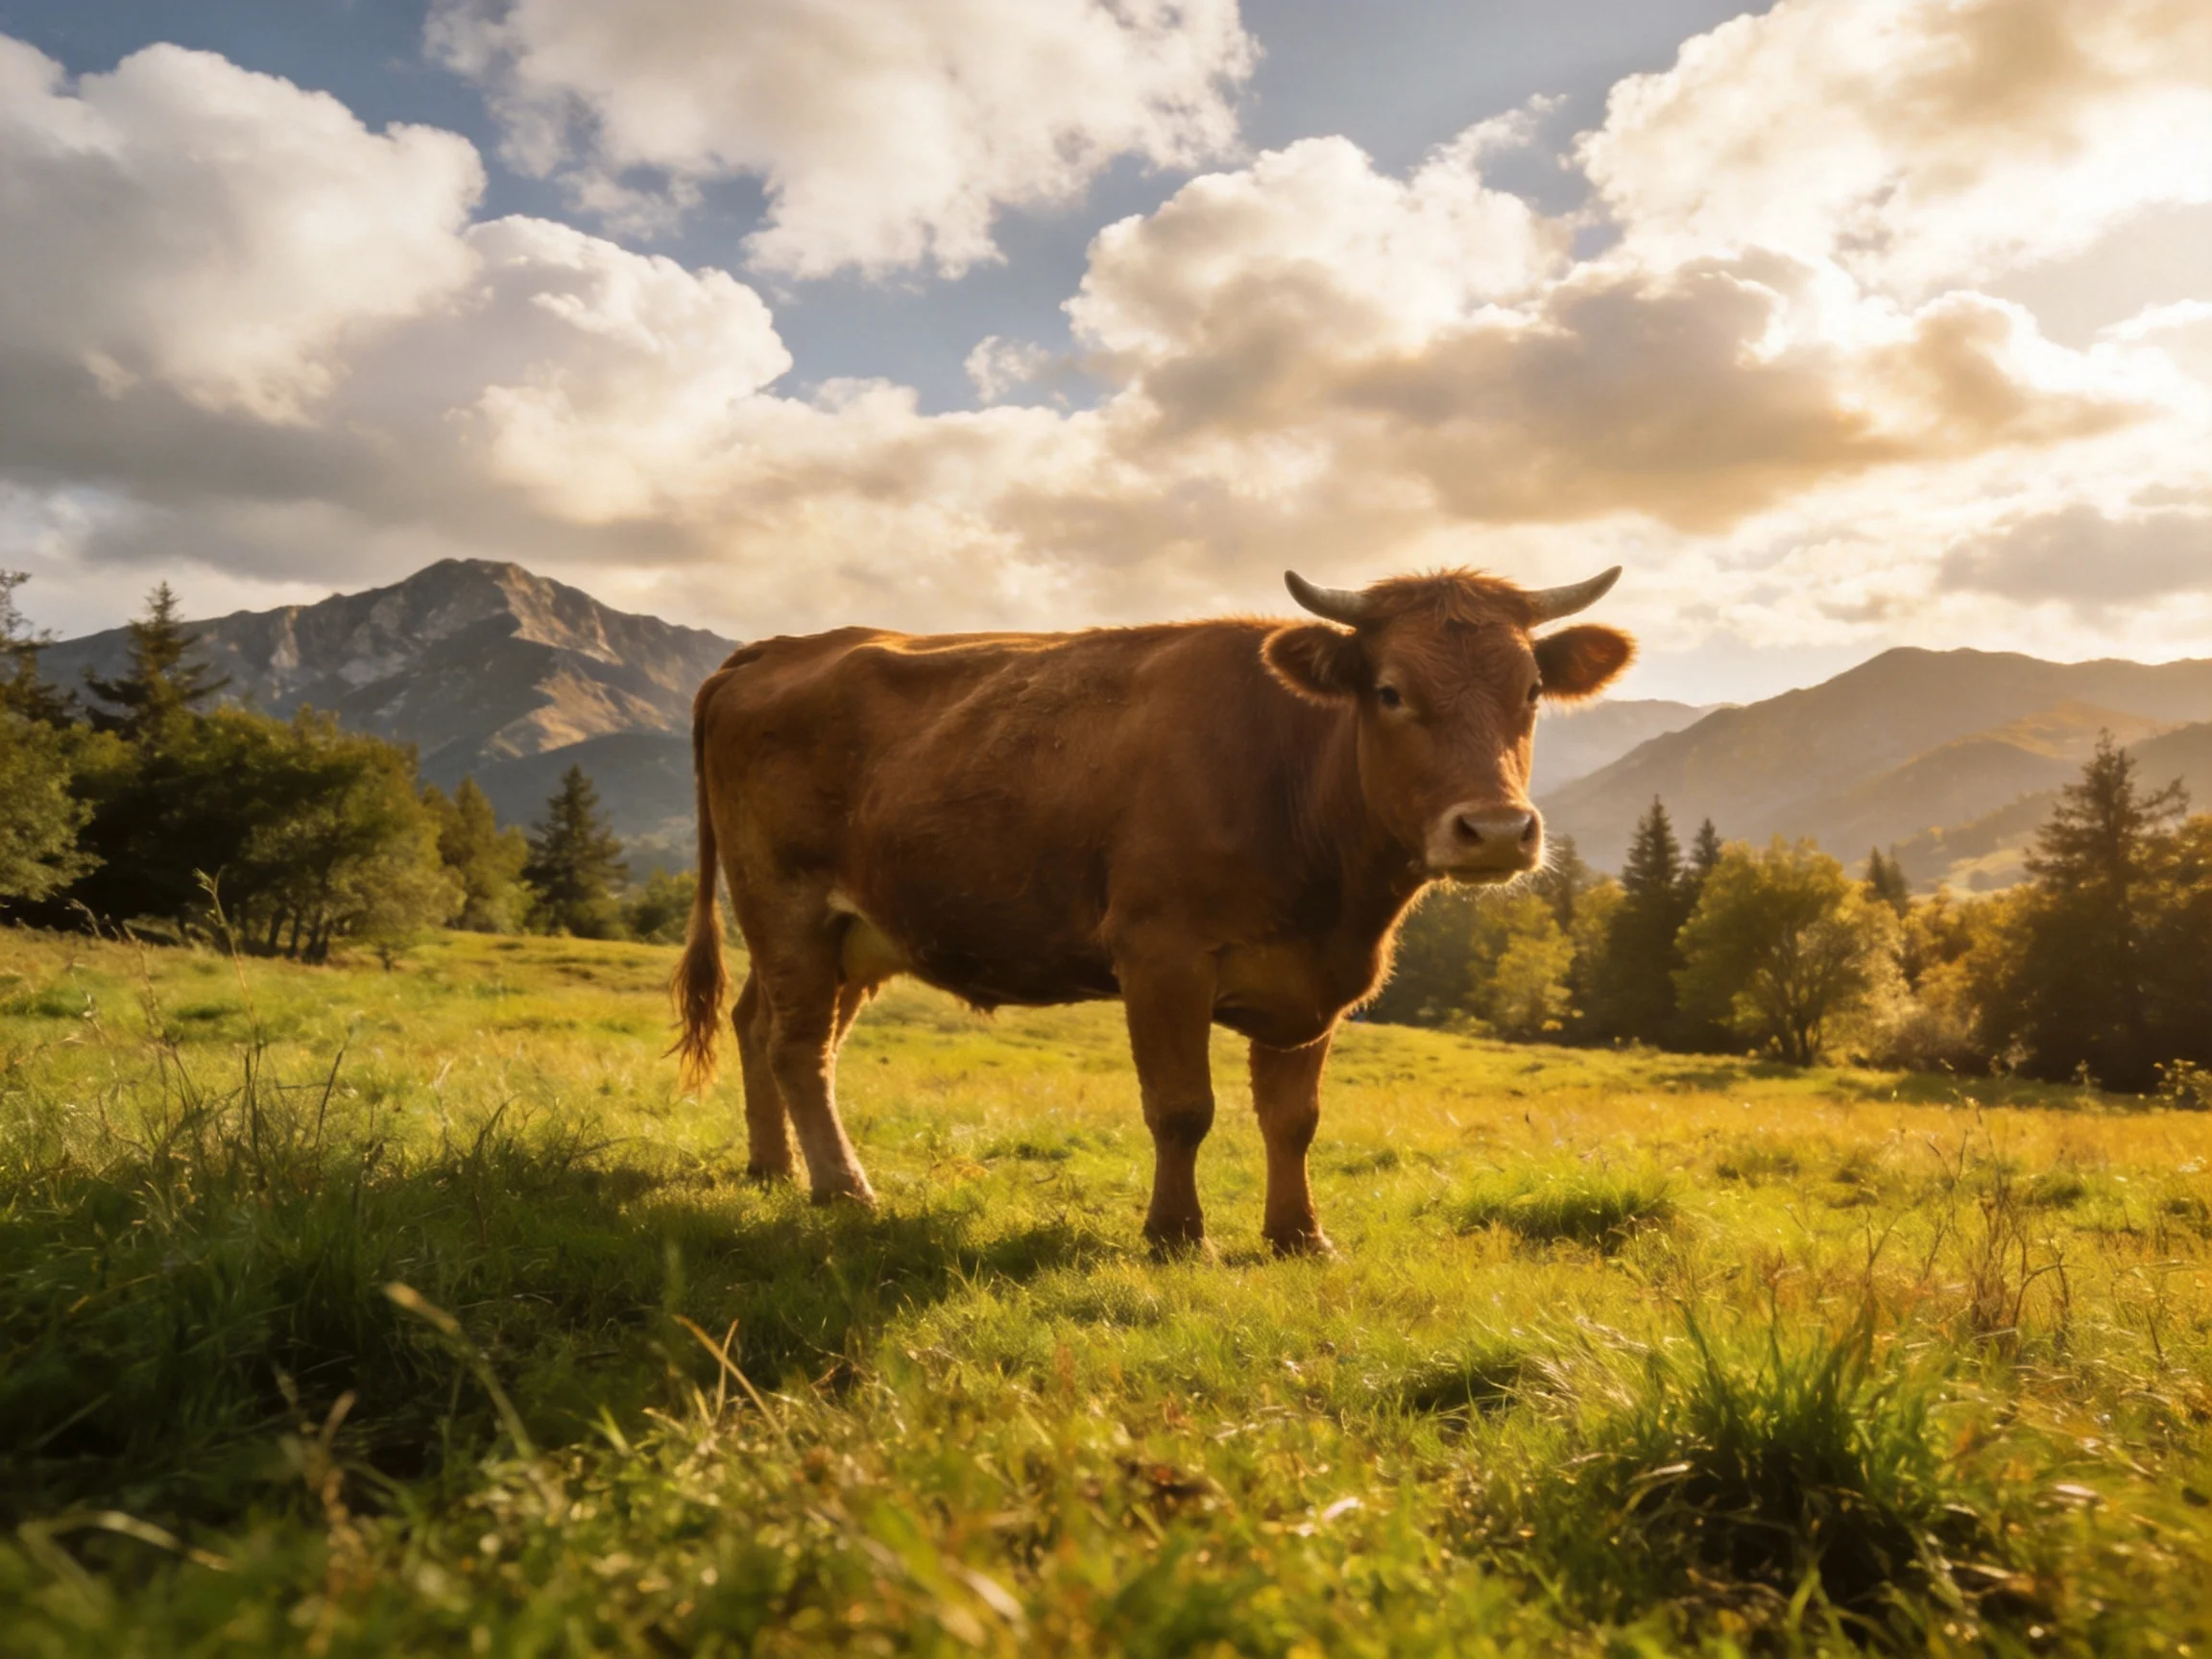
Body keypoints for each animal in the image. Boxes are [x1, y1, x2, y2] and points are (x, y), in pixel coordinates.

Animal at [671, 566, 1633, 1255]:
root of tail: (776, 648)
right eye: (1391, 690)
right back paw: (843, 1188)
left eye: (1532, 692)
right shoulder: (1161, 954)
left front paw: (1299, 1236)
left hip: (850, 933)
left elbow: (1295, 1120)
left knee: (762, 1023)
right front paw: (1175, 1235)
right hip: (785, 901)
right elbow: (1182, 1107)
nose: (1497, 830)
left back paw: (773, 1167)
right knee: (799, 1048)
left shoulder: (1313, 982)